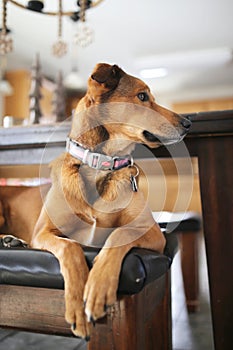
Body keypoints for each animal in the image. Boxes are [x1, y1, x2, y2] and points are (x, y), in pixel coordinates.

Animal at [0, 63, 191, 340]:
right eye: (142, 96)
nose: (189, 123)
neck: (101, 164)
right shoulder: (43, 233)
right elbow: (70, 247)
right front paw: (77, 305)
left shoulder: (153, 232)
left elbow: (119, 234)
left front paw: (98, 288)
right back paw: (10, 240)